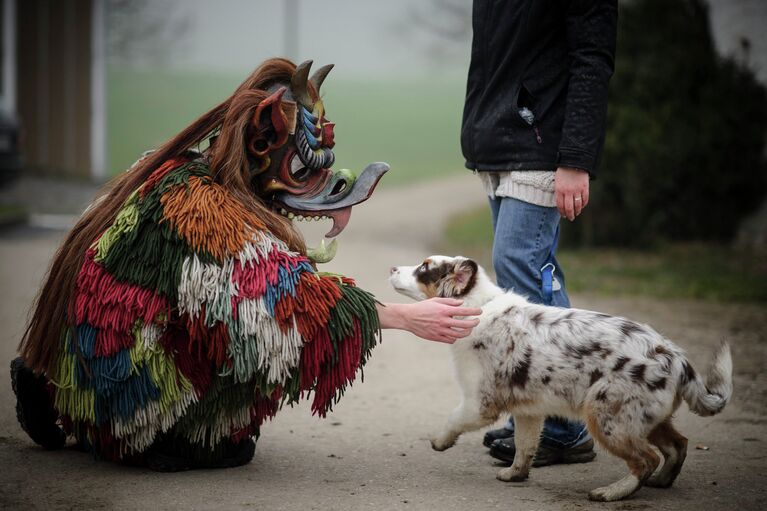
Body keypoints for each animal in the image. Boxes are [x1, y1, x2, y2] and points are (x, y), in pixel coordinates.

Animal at [390, 254, 732, 502]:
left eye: (424, 268)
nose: (392, 267)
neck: (478, 308)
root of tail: (676, 357)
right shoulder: (529, 410)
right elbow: (525, 445)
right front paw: (515, 474)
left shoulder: (479, 403)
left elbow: (453, 419)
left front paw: (440, 442)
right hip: (646, 417)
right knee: (677, 445)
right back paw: (661, 482)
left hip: (607, 414)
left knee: (645, 459)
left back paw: (610, 493)